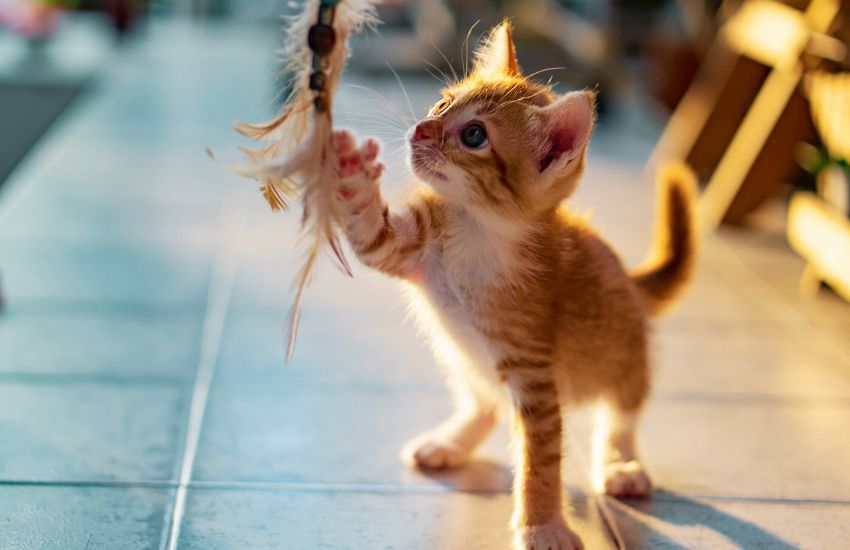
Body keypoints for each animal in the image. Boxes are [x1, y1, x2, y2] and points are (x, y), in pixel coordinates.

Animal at [328, 21, 692, 550]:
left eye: (474, 135)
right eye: (441, 103)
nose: (420, 129)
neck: (478, 232)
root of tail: (626, 275)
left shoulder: (534, 374)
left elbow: (541, 460)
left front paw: (544, 526)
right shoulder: (403, 245)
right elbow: (368, 232)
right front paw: (349, 170)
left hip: (623, 351)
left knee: (622, 412)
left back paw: (621, 463)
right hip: (463, 356)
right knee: (484, 401)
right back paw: (451, 441)